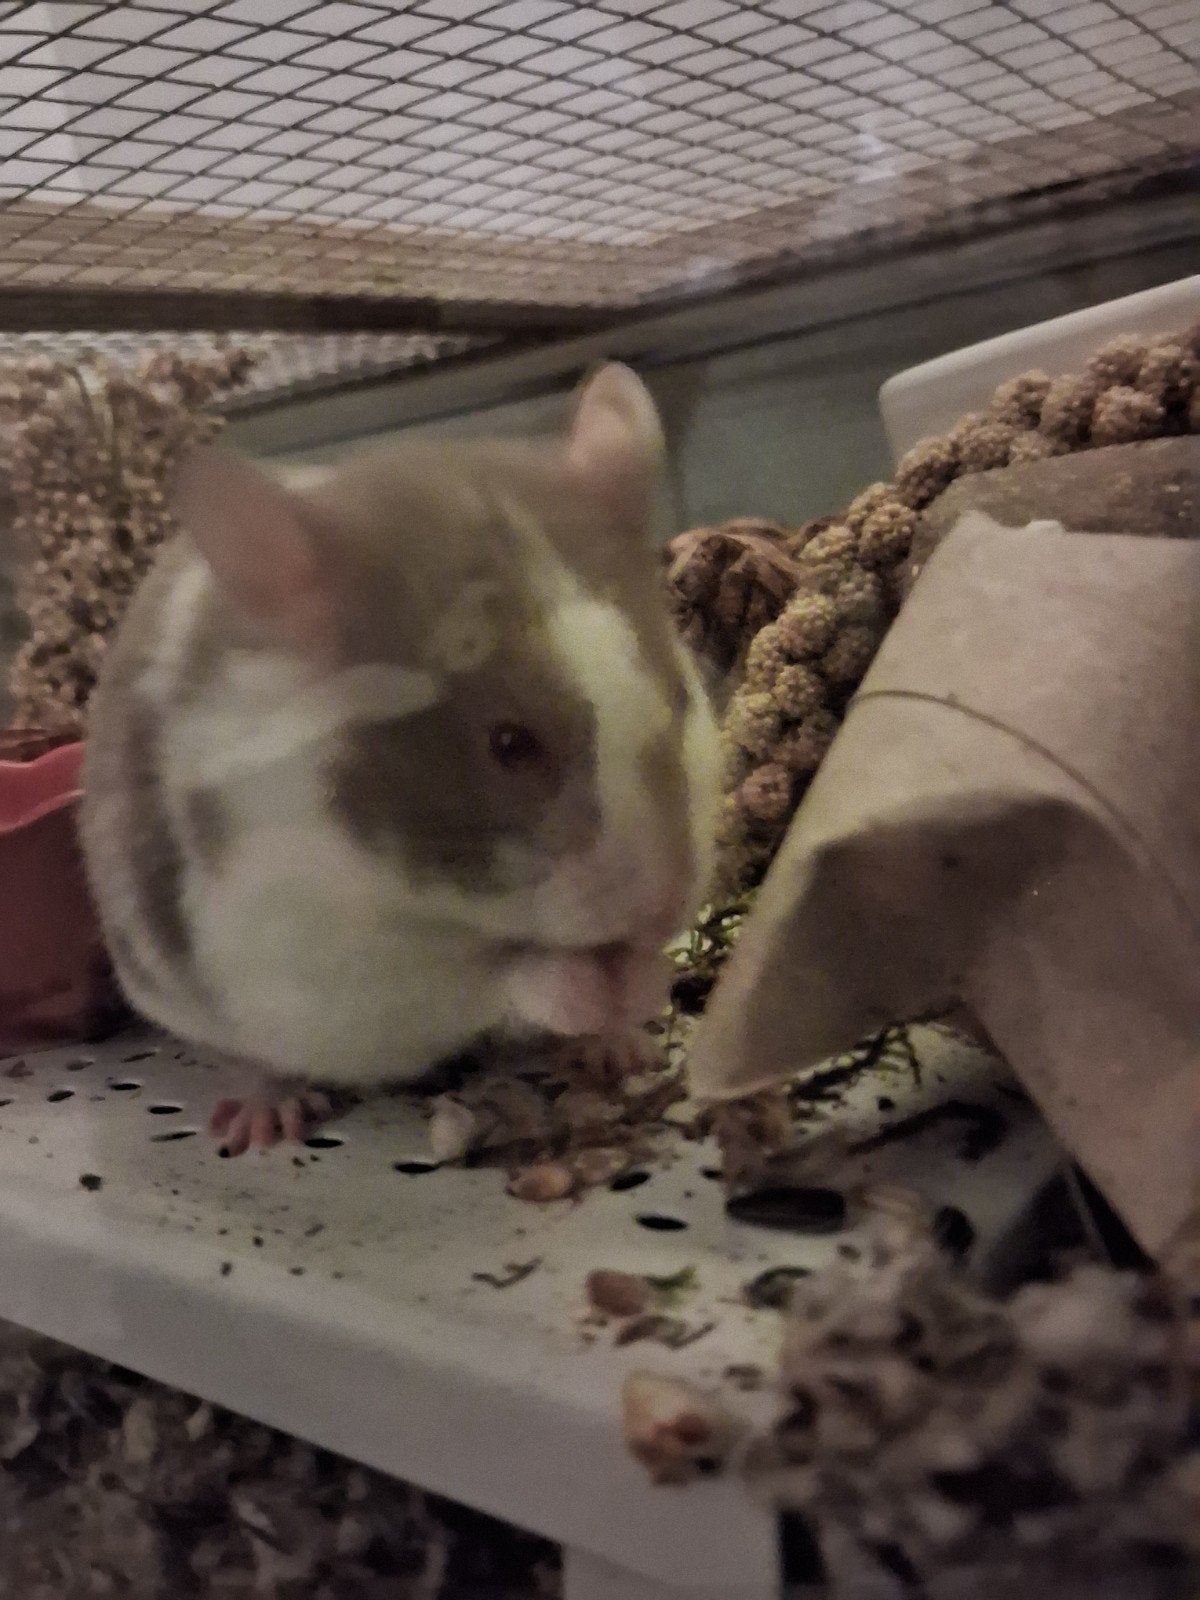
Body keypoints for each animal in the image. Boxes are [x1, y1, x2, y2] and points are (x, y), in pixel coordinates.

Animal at [80, 364, 722, 1153]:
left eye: (679, 694)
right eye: (508, 742)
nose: (664, 910)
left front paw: (636, 990)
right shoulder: (339, 952)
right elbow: (504, 972)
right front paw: (605, 986)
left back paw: (616, 1050)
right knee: (250, 1057)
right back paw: (268, 1117)